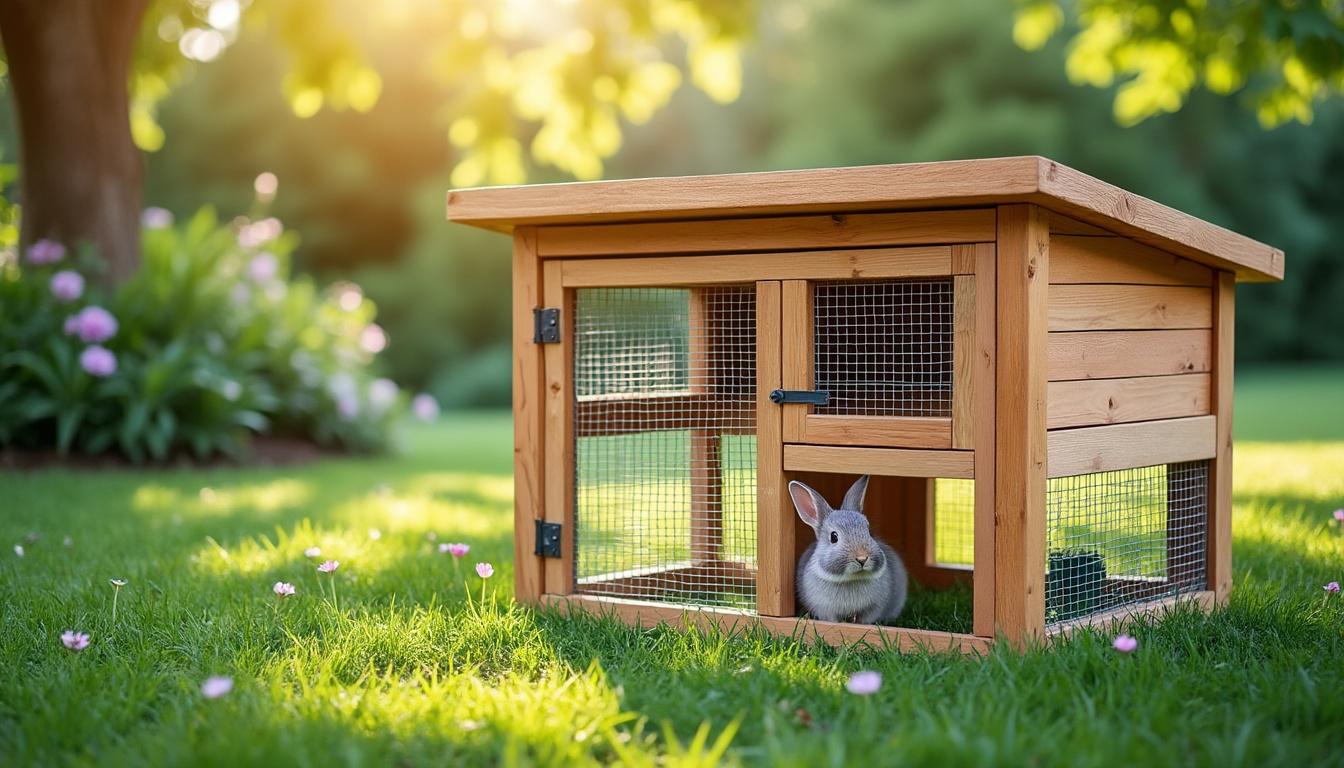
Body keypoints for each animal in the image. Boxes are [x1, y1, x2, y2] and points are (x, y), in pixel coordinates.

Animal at [790, 475, 908, 624]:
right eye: (834, 537)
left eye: (869, 531)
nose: (862, 558)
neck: (851, 578)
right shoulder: (825, 609)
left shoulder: (874, 607)